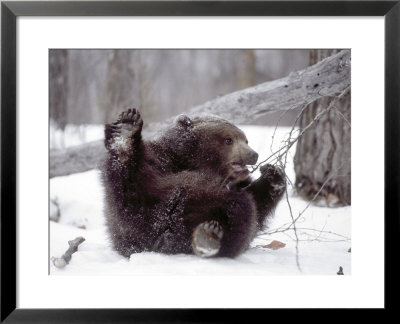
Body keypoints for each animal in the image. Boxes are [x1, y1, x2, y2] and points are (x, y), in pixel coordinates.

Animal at [101, 109, 286, 258]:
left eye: (245, 140)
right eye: (228, 140)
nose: (253, 154)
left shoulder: (238, 184)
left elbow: (257, 205)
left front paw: (273, 176)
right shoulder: (160, 162)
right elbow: (129, 196)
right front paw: (125, 133)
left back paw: (208, 236)